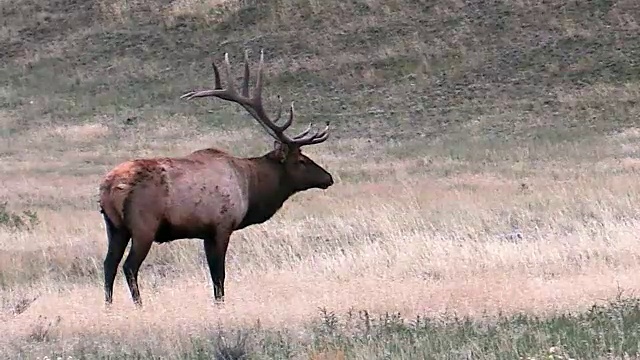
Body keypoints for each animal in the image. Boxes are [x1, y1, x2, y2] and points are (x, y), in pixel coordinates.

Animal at [99, 49, 336, 308]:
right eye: (302, 160)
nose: (329, 178)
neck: (250, 189)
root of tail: (109, 187)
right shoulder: (222, 225)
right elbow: (219, 276)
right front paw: (220, 306)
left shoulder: (206, 232)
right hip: (143, 224)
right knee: (129, 266)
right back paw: (139, 306)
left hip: (114, 227)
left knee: (108, 265)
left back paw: (109, 307)